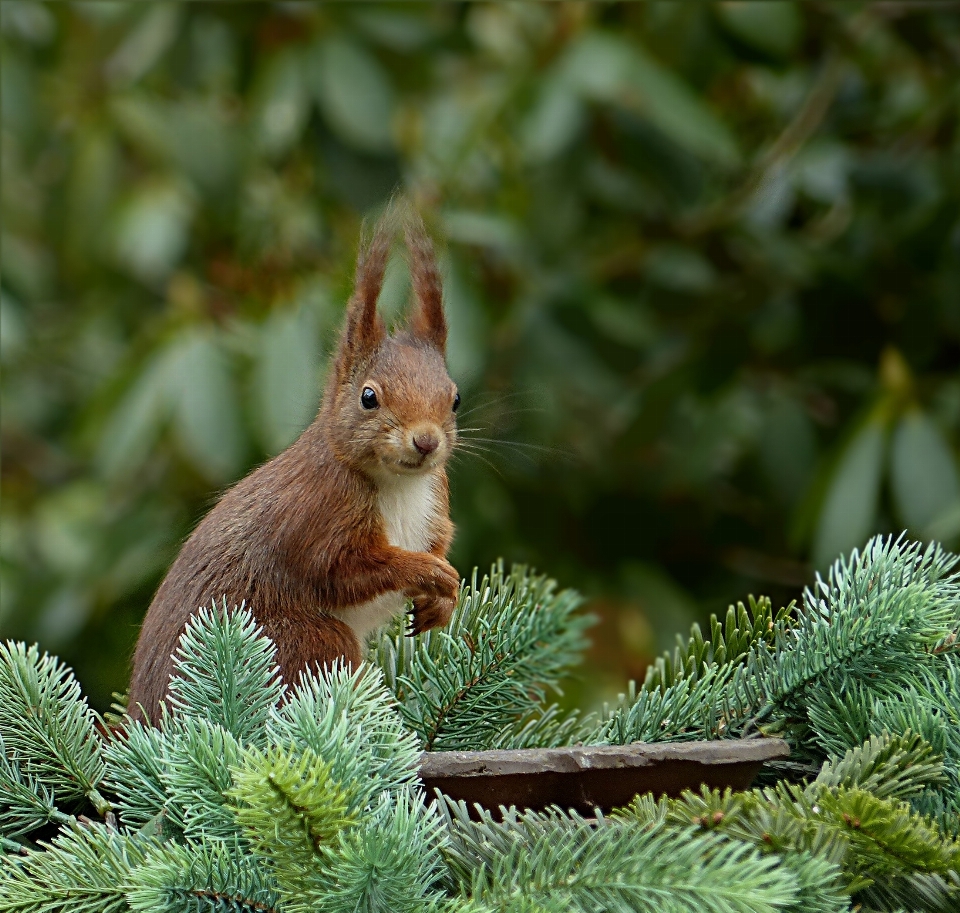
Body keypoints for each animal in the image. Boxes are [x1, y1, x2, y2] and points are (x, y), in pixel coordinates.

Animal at [126, 208, 462, 728]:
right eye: (368, 397)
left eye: (455, 399)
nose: (426, 441)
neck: (399, 484)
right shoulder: (317, 514)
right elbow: (342, 571)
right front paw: (429, 572)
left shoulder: (435, 499)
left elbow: (439, 540)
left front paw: (444, 599)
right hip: (304, 643)